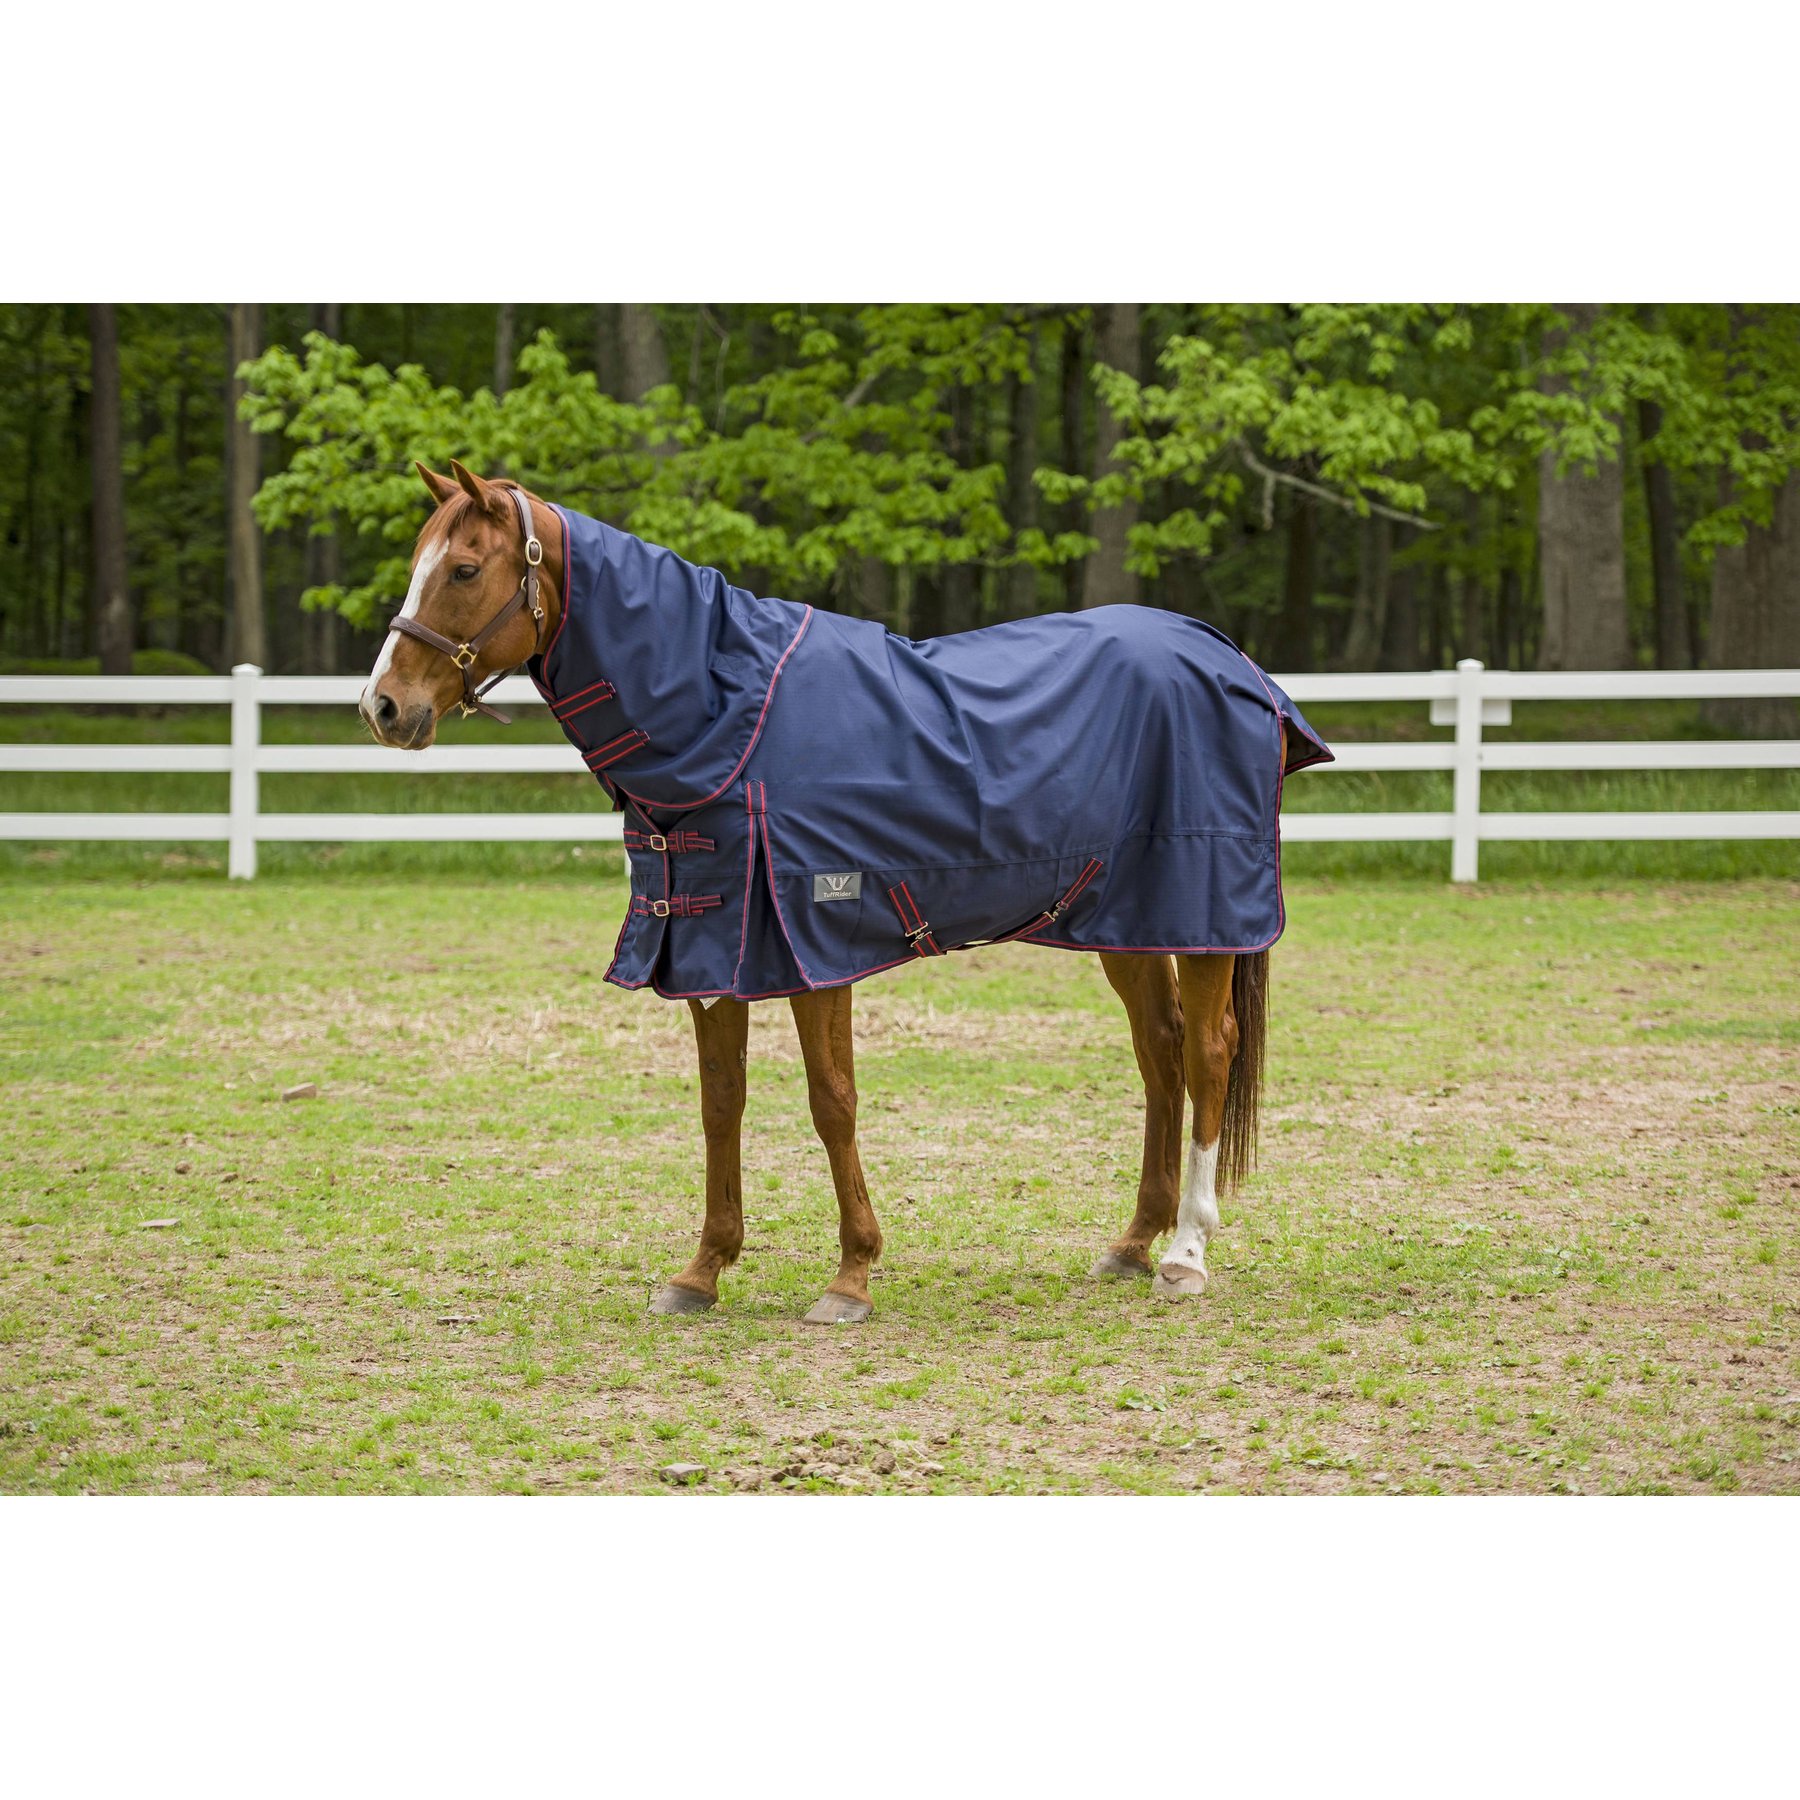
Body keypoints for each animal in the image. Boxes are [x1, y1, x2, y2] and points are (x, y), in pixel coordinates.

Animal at [360, 460, 1331, 1324]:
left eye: (465, 569)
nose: (383, 707)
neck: (726, 719)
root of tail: (1233, 663)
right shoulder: (712, 948)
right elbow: (720, 1104)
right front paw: (702, 1270)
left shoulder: (812, 946)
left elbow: (833, 1103)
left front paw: (852, 1276)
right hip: (1123, 918)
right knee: (1159, 1051)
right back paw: (1131, 1244)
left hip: (1205, 916)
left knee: (1207, 1053)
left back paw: (1184, 1256)